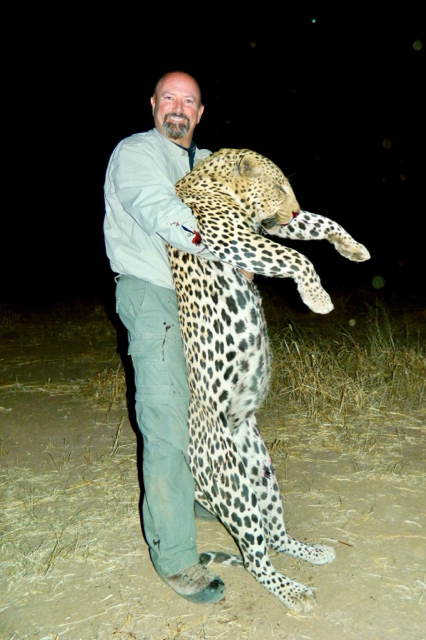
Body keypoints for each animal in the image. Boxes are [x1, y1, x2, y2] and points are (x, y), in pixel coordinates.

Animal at [166, 148, 370, 612]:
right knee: (255, 556)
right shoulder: (236, 239)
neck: (212, 180)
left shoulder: (267, 226)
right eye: (278, 185)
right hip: (231, 487)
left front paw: (353, 247)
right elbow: (298, 258)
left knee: (273, 536)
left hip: (263, 472)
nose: (291, 206)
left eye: (289, 190)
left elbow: (318, 222)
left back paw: (312, 552)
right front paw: (318, 298)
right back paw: (292, 592)